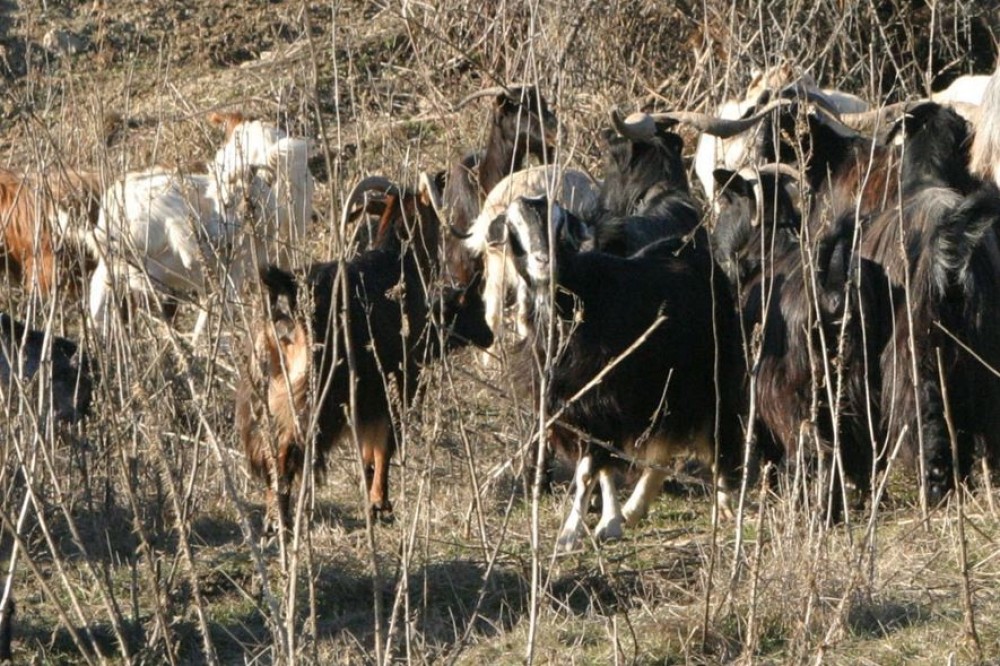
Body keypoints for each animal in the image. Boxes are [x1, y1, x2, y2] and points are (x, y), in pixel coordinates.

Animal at [238, 211, 496, 524]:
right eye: (476, 307)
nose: (490, 336)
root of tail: (288, 295)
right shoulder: (394, 393)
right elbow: (384, 448)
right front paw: (380, 504)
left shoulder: (366, 406)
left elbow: (368, 455)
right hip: (313, 400)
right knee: (287, 451)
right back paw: (282, 520)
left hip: (262, 396)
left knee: (269, 448)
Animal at [498, 195, 744, 548]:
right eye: (513, 225)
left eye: (559, 224)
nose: (544, 261)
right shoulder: (581, 407)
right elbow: (602, 467)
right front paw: (610, 522)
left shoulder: (602, 398)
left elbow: (588, 470)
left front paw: (569, 535)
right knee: (665, 445)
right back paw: (634, 508)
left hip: (708, 376)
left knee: (715, 430)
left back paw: (722, 505)